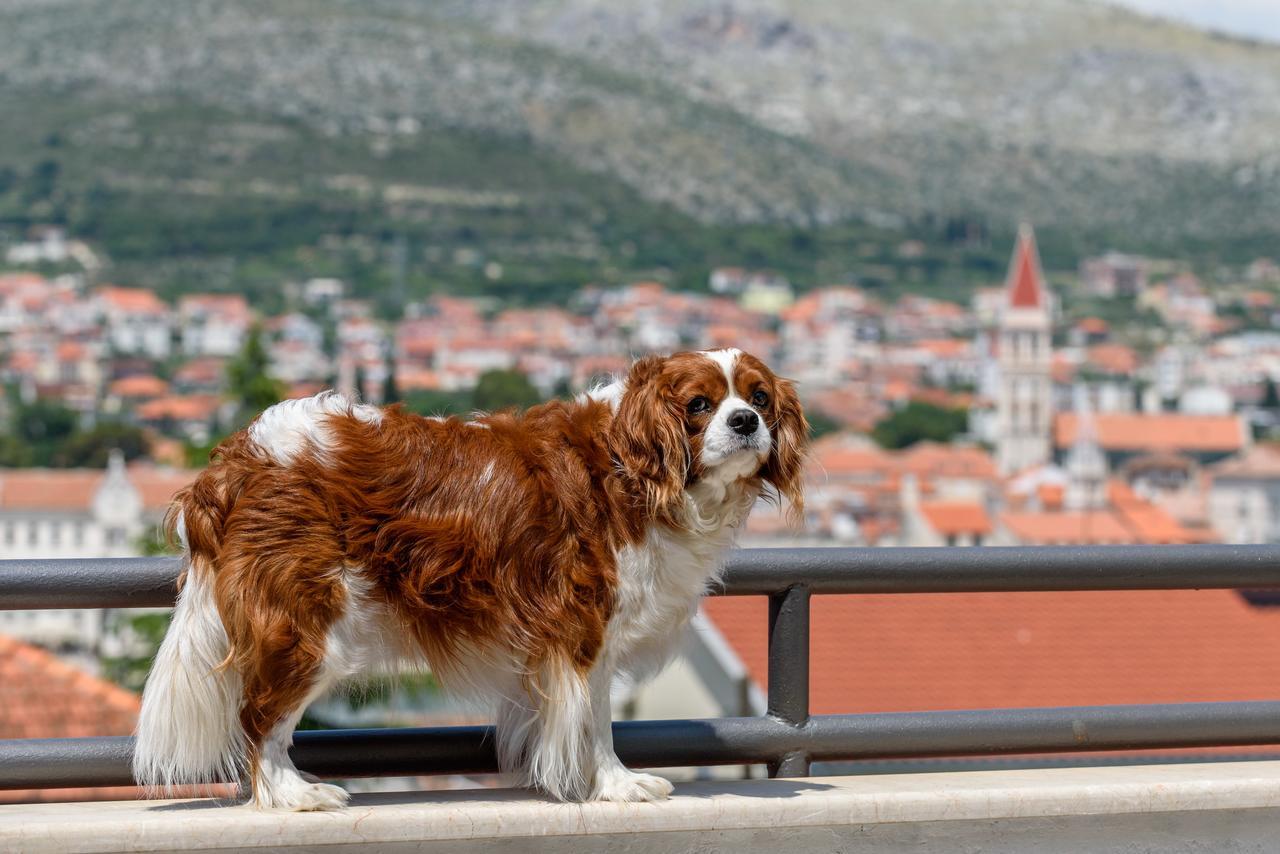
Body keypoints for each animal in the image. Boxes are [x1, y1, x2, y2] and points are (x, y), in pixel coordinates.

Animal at [132, 345, 808, 809]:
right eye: (699, 406)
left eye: (759, 398)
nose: (745, 422)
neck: (633, 465)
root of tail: (236, 459)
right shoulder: (584, 628)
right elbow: (595, 725)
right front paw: (615, 785)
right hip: (311, 621)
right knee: (259, 716)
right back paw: (293, 794)